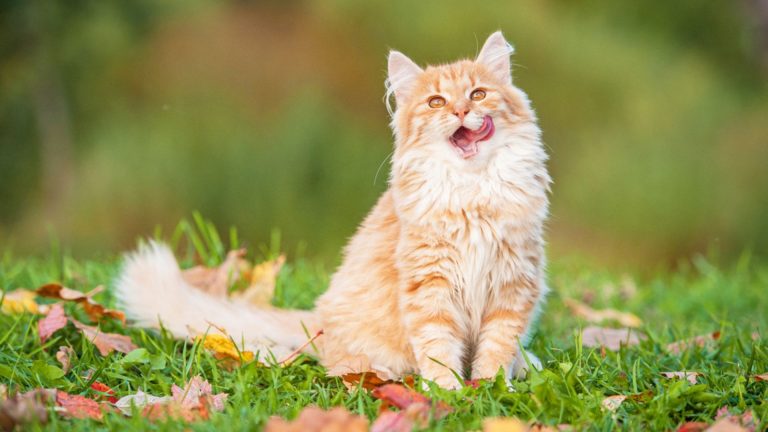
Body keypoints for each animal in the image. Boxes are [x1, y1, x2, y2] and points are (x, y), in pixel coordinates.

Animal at [114, 30, 548, 388]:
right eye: (436, 102)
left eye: (477, 95)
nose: (459, 111)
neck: (473, 193)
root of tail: (318, 318)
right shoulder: (430, 285)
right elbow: (438, 348)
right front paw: (448, 393)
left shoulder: (514, 285)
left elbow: (496, 347)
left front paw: (493, 388)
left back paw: (525, 365)